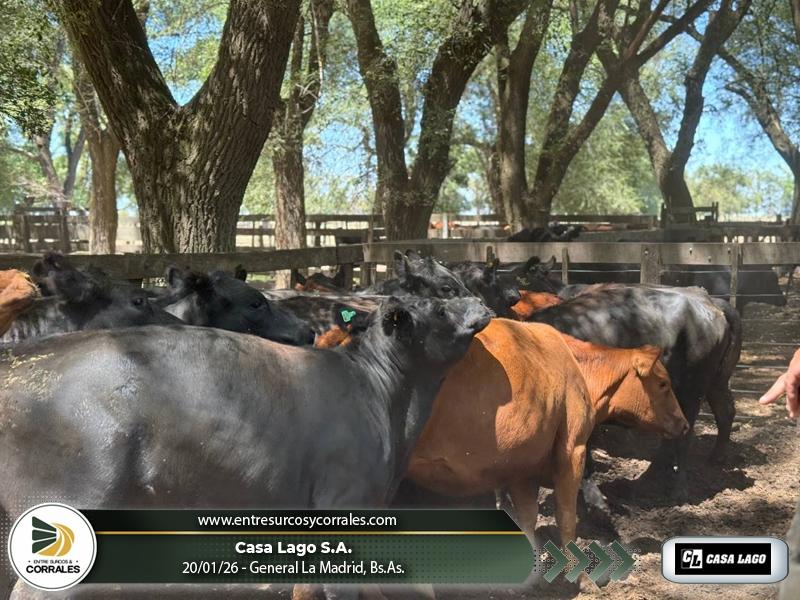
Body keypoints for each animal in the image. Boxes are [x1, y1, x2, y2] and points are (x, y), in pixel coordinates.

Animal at [407, 319, 688, 548]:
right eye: (663, 383)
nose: (684, 424)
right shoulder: (572, 450)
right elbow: (566, 515)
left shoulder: (520, 460)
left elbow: (528, 517)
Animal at [522, 284, 742, 502]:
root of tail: (711, 304)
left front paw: (594, 498)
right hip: (715, 384)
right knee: (723, 413)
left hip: (692, 392)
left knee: (684, 437)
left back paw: (678, 490)